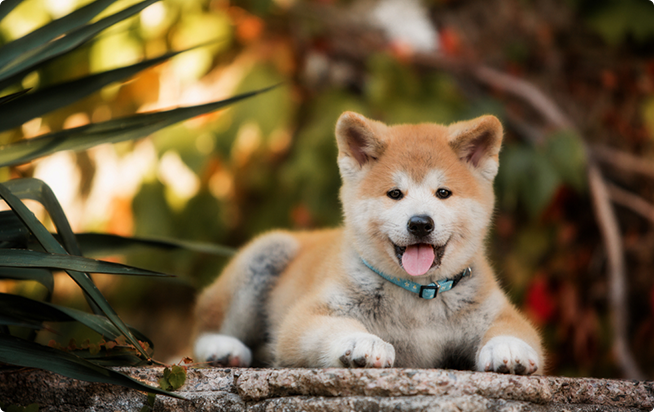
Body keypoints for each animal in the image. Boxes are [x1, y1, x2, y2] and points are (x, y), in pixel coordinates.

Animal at [192, 111, 544, 374]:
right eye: (395, 193)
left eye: (443, 193)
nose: (420, 223)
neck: (418, 299)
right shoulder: (305, 317)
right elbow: (333, 326)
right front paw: (362, 342)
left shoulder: (498, 312)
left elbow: (512, 329)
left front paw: (508, 347)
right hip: (266, 254)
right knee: (200, 331)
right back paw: (221, 348)